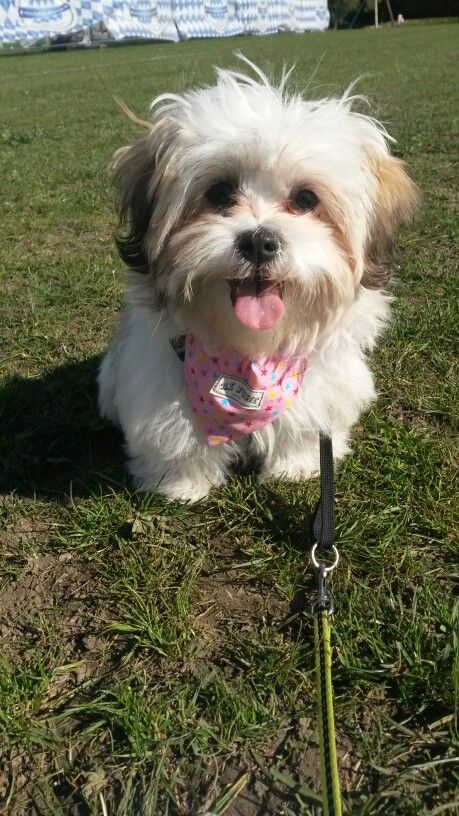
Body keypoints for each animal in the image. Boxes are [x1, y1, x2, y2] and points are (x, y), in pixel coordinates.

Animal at [99, 57, 418, 500]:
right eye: (219, 192)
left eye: (306, 199)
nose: (259, 241)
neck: (248, 354)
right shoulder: (157, 375)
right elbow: (174, 432)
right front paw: (181, 483)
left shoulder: (318, 384)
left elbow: (306, 423)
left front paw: (297, 466)